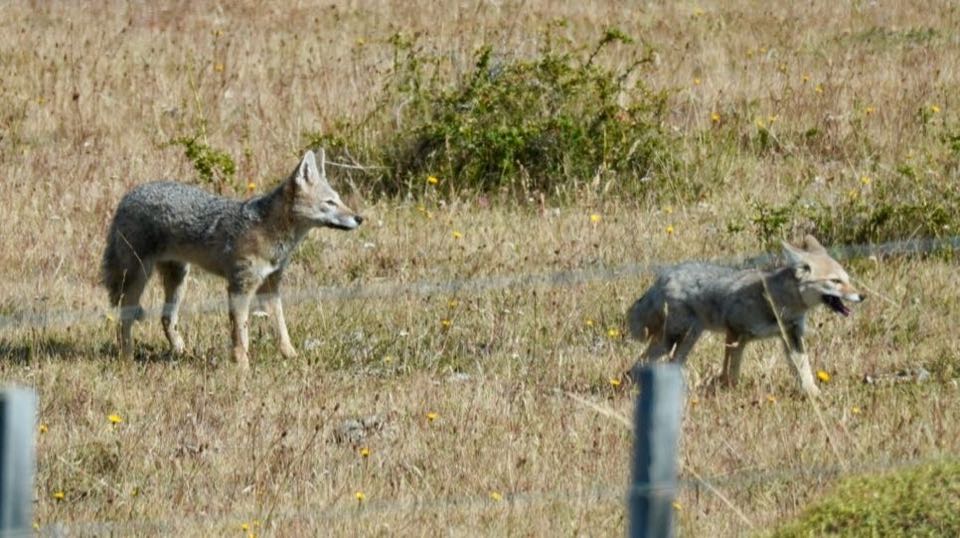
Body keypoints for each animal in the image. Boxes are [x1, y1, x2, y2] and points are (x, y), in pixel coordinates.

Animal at [101, 149, 363, 369]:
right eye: (330, 202)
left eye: (340, 200)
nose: (359, 218)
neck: (271, 231)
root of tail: (127, 196)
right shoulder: (239, 287)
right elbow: (241, 335)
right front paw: (243, 368)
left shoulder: (270, 287)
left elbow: (281, 328)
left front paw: (292, 357)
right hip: (138, 278)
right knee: (125, 318)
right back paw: (127, 359)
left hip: (178, 279)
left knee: (167, 318)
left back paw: (183, 353)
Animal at [627, 235, 863, 396]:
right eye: (835, 281)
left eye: (847, 279)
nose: (862, 296)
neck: (778, 301)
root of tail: (666, 274)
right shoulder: (734, 332)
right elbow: (729, 370)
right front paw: (727, 390)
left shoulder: (790, 336)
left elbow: (803, 369)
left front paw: (813, 393)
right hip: (672, 340)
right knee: (641, 361)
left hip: (686, 341)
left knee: (664, 363)